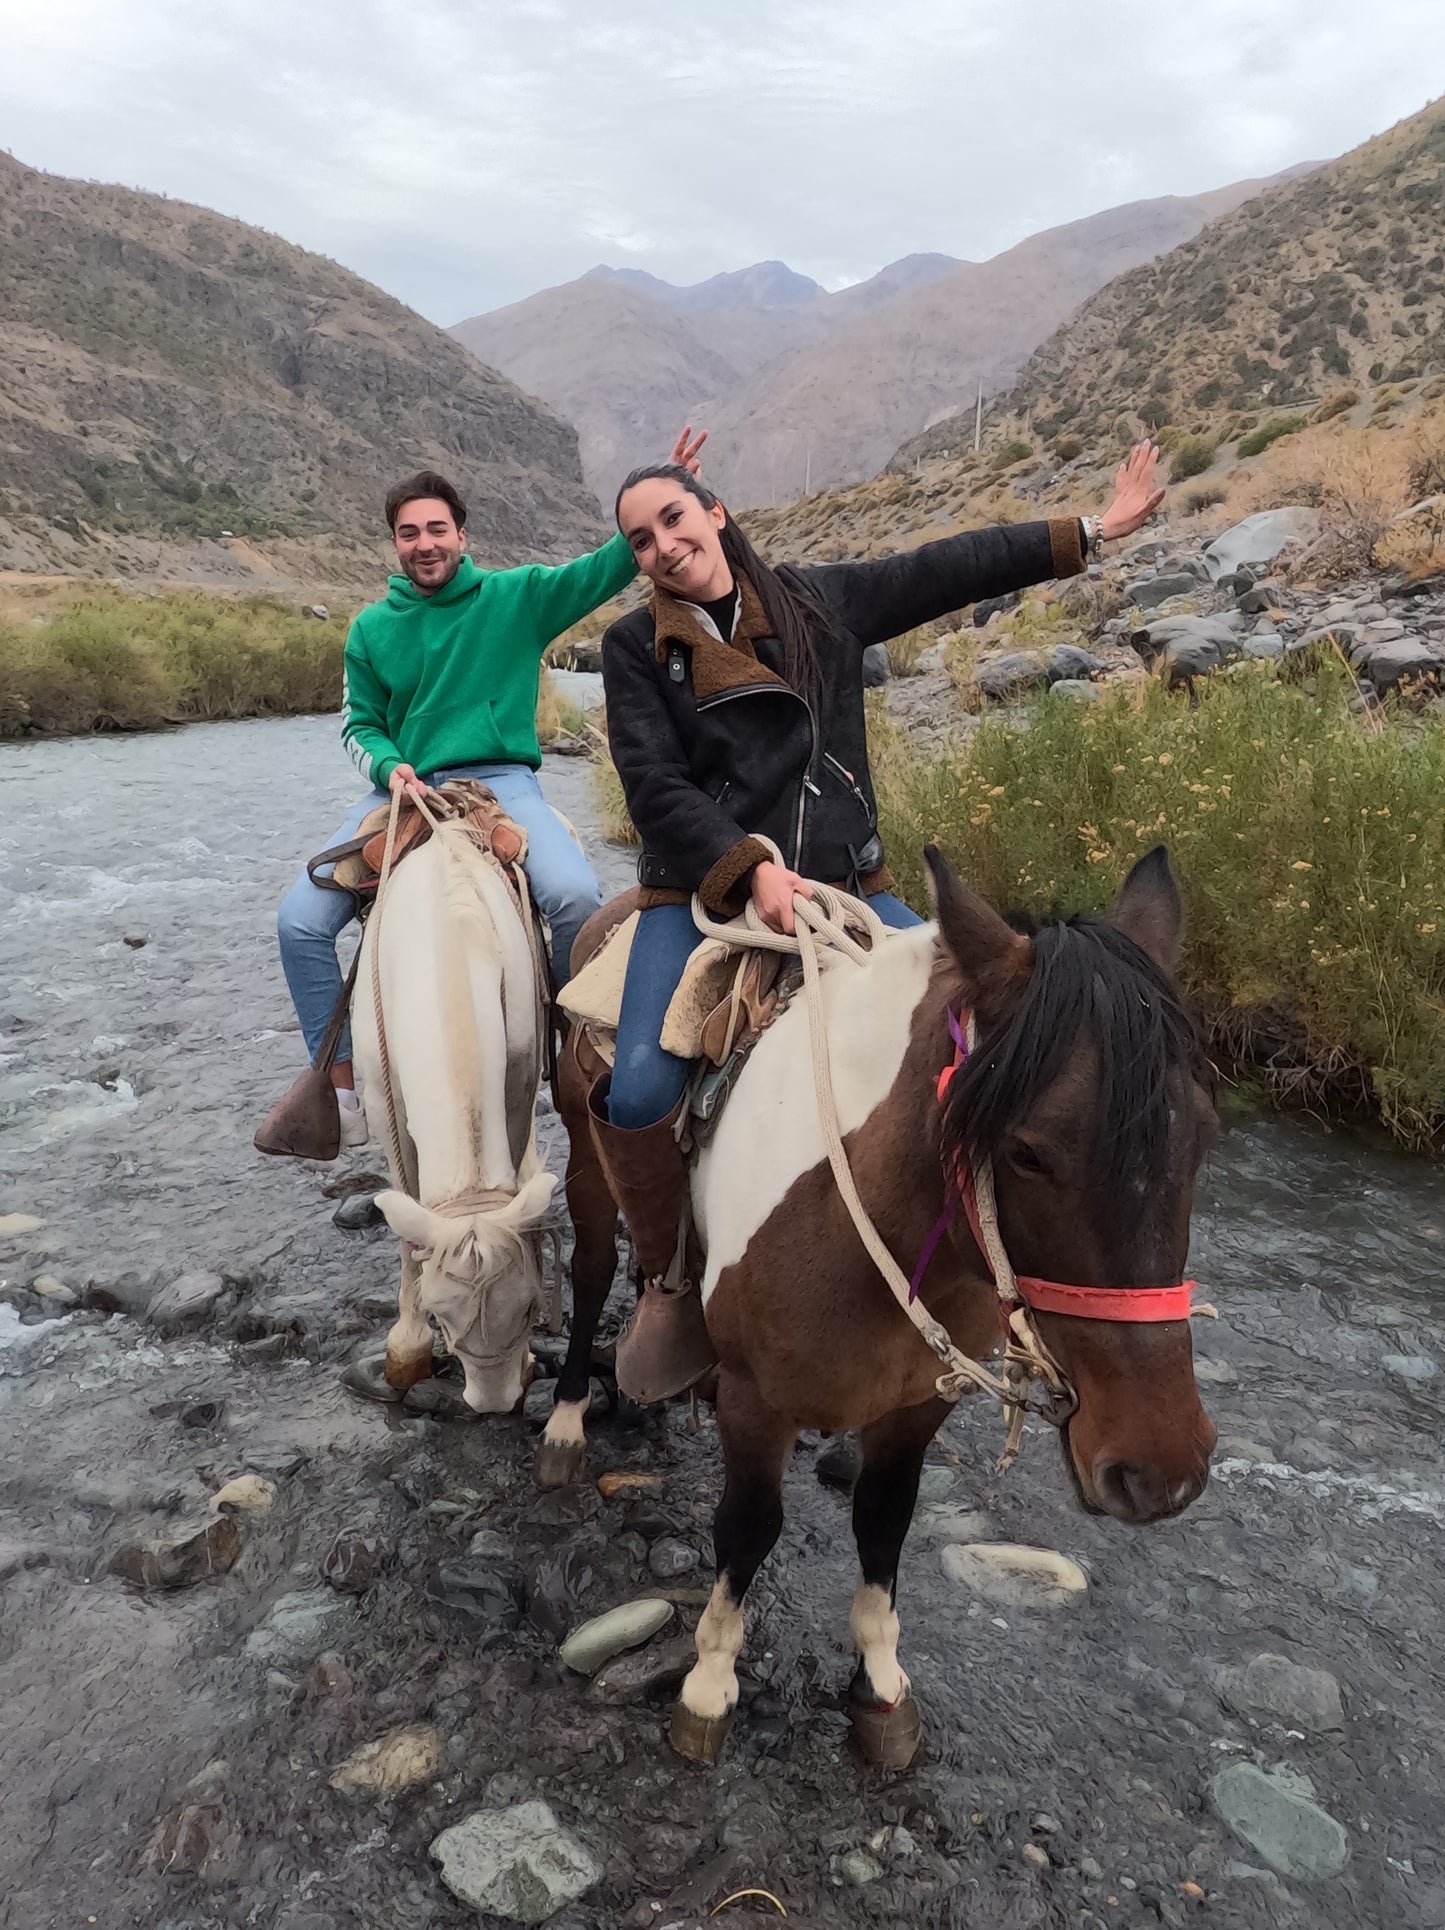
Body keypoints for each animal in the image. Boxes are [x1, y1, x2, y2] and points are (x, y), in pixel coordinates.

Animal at [349, 818, 559, 1420]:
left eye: (530, 1307)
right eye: (441, 1316)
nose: (494, 1403)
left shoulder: (517, 1089)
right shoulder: (385, 1105)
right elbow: (406, 1212)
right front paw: (407, 1347)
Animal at [563, 837, 1219, 1760]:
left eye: (1201, 1135)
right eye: (1025, 1152)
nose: (1161, 1472)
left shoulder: (916, 1403)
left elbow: (884, 1518)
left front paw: (877, 1681)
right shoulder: (755, 1400)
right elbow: (747, 1527)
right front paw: (708, 1685)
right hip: (588, 1164)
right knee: (588, 1272)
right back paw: (565, 1419)